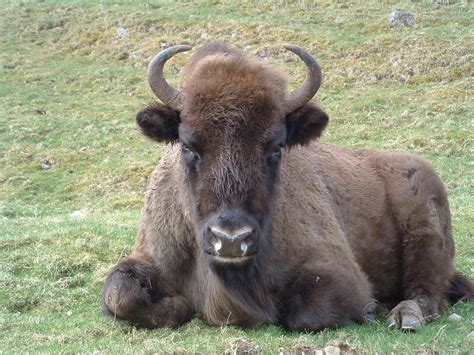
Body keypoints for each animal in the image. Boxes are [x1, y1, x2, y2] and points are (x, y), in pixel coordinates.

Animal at [102, 42, 472, 334]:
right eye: (188, 145)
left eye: (276, 147)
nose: (231, 239)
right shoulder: (151, 256)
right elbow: (120, 294)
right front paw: (178, 307)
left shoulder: (337, 270)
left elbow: (308, 312)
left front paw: (368, 310)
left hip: (426, 240)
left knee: (427, 293)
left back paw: (404, 317)